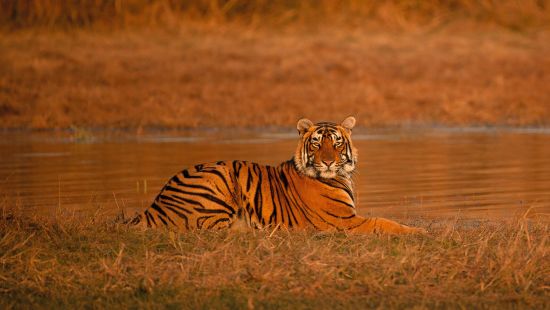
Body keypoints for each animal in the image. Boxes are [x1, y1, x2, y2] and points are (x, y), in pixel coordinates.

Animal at [129, 117, 426, 234]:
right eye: (316, 143)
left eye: (337, 143)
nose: (328, 161)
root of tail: (155, 204)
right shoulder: (344, 222)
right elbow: (384, 222)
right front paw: (420, 231)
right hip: (218, 176)